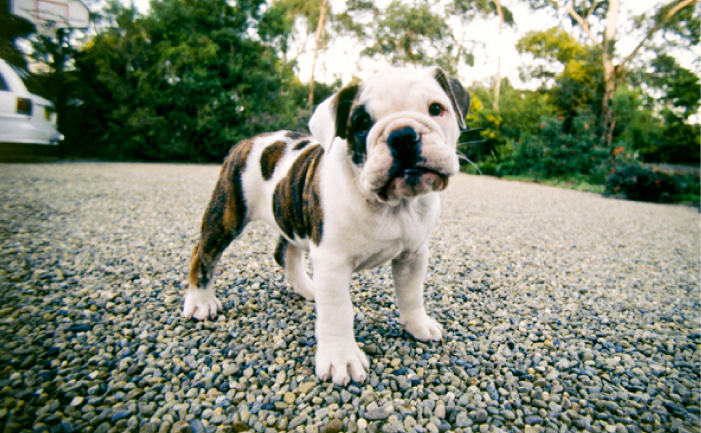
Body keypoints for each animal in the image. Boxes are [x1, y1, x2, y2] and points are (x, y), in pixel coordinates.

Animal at [185, 66, 470, 384]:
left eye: (435, 109)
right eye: (362, 123)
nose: (402, 135)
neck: (393, 204)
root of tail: (248, 141)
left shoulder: (413, 255)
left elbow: (411, 293)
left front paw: (417, 325)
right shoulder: (333, 263)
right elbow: (338, 312)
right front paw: (341, 358)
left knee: (286, 253)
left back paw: (308, 289)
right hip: (227, 214)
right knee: (204, 253)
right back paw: (200, 302)